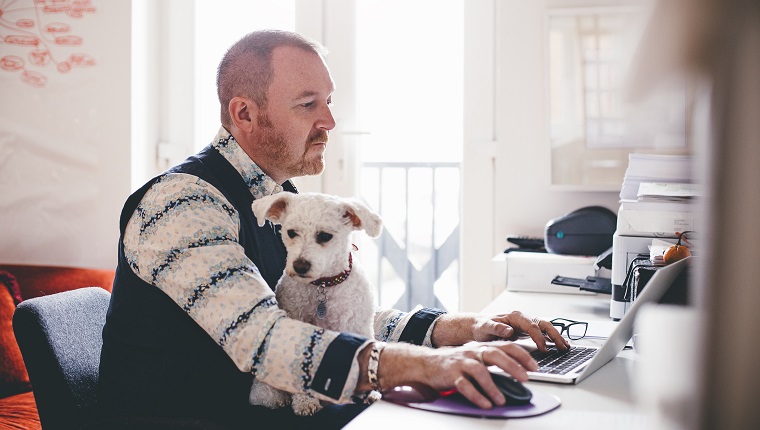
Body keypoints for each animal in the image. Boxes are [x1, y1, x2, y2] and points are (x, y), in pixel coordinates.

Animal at [248, 192, 382, 416]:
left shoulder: (359, 325)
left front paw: (370, 393)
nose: (300, 266)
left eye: (325, 236)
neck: (324, 285)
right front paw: (304, 402)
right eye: (291, 232)